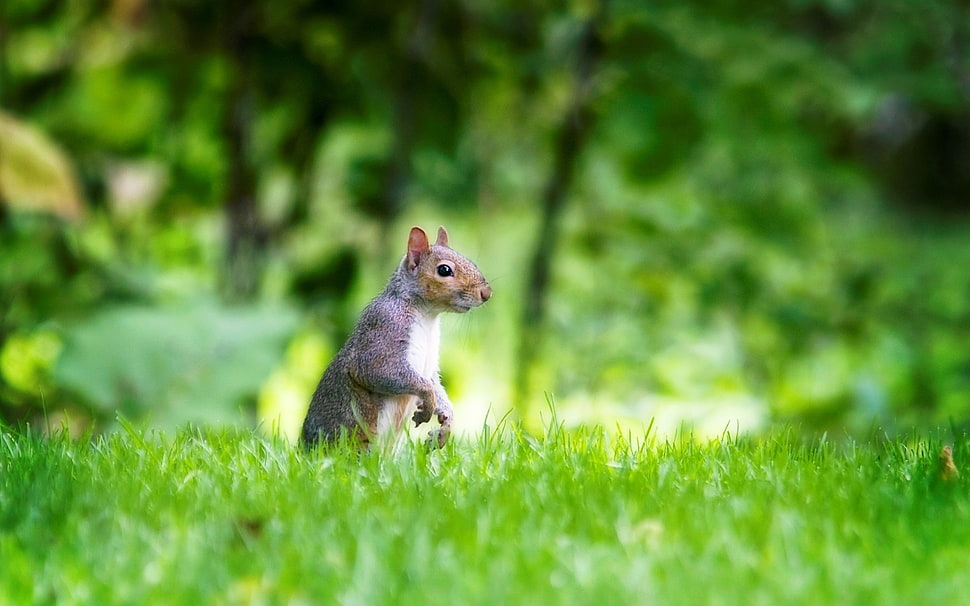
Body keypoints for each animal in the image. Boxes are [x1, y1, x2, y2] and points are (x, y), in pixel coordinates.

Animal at [301, 225, 492, 449]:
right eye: (444, 270)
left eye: (472, 262)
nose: (486, 293)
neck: (427, 315)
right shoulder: (384, 329)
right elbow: (378, 371)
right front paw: (428, 402)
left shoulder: (429, 364)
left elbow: (435, 384)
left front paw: (446, 423)